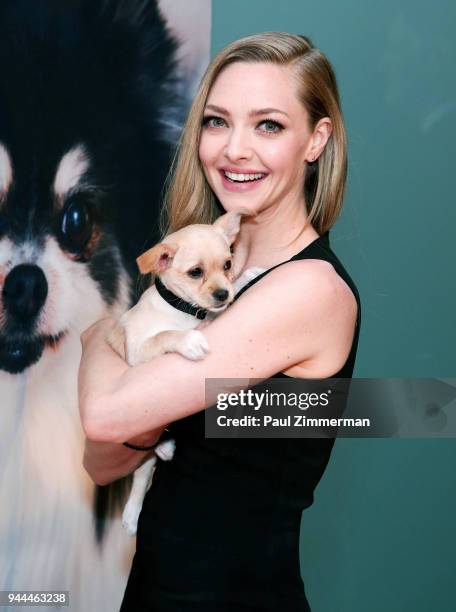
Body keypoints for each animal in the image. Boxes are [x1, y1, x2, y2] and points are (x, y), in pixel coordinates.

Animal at [107, 208, 264, 532]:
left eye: (228, 264)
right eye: (195, 272)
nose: (223, 293)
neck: (184, 312)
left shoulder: (213, 316)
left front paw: (246, 277)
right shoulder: (138, 353)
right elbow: (165, 335)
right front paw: (188, 341)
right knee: (142, 472)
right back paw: (132, 511)